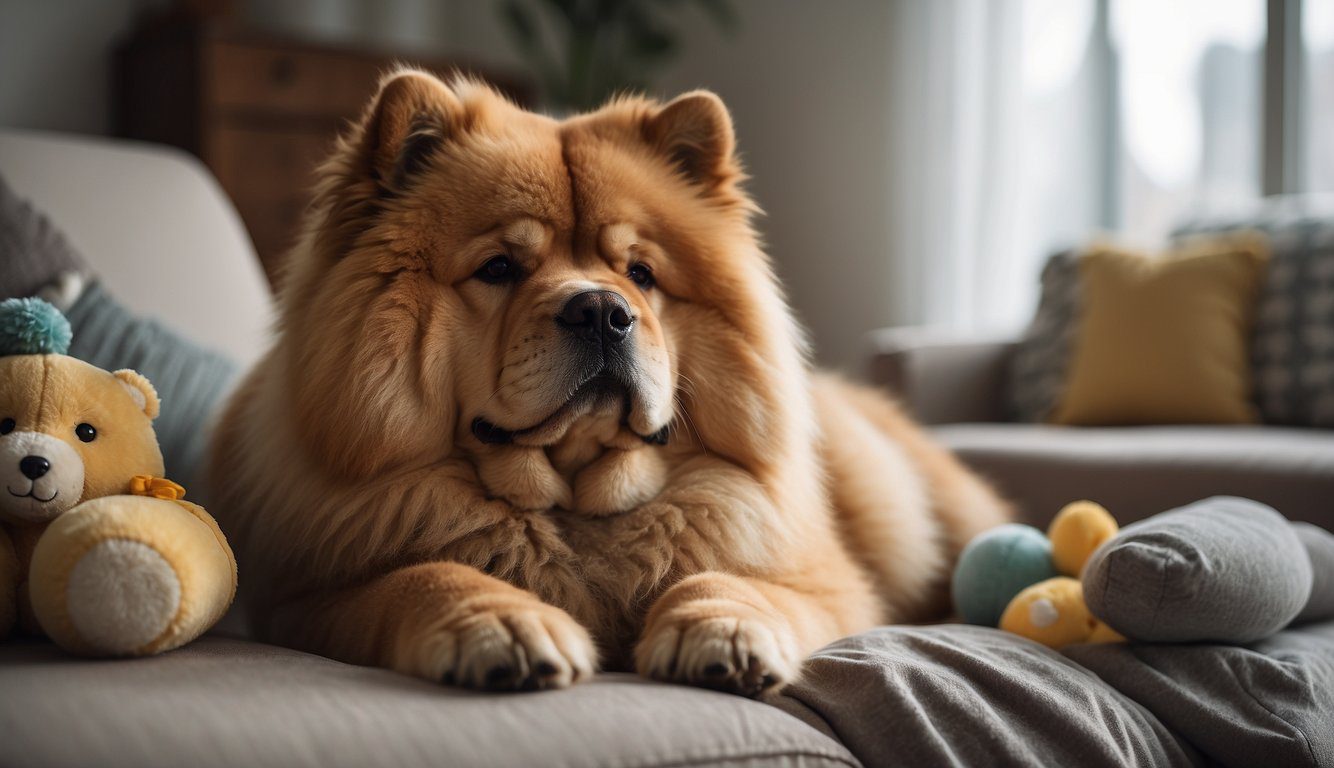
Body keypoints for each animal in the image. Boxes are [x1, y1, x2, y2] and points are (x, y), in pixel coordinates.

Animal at [208, 70, 1003, 693]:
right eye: (500, 268)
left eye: (641, 274)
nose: (601, 310)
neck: (576, 506)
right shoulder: (302, 600)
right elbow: (423, 575)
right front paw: (505, 623)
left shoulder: (823, 580)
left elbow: (731, 579)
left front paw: (723, 633)